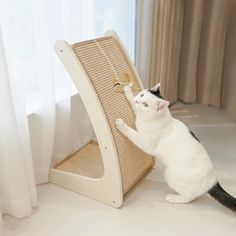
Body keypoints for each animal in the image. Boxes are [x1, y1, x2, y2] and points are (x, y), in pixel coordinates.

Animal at [115, 82, 235, 210]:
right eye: (142, 95)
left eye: (145, 105)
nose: (138, 100)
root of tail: (213, 181)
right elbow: (132, 103)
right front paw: (128, 91)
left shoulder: (146, 143)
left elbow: (133, 134)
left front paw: (122, 126)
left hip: (170, 175)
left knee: (190, 197)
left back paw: (173, 198)